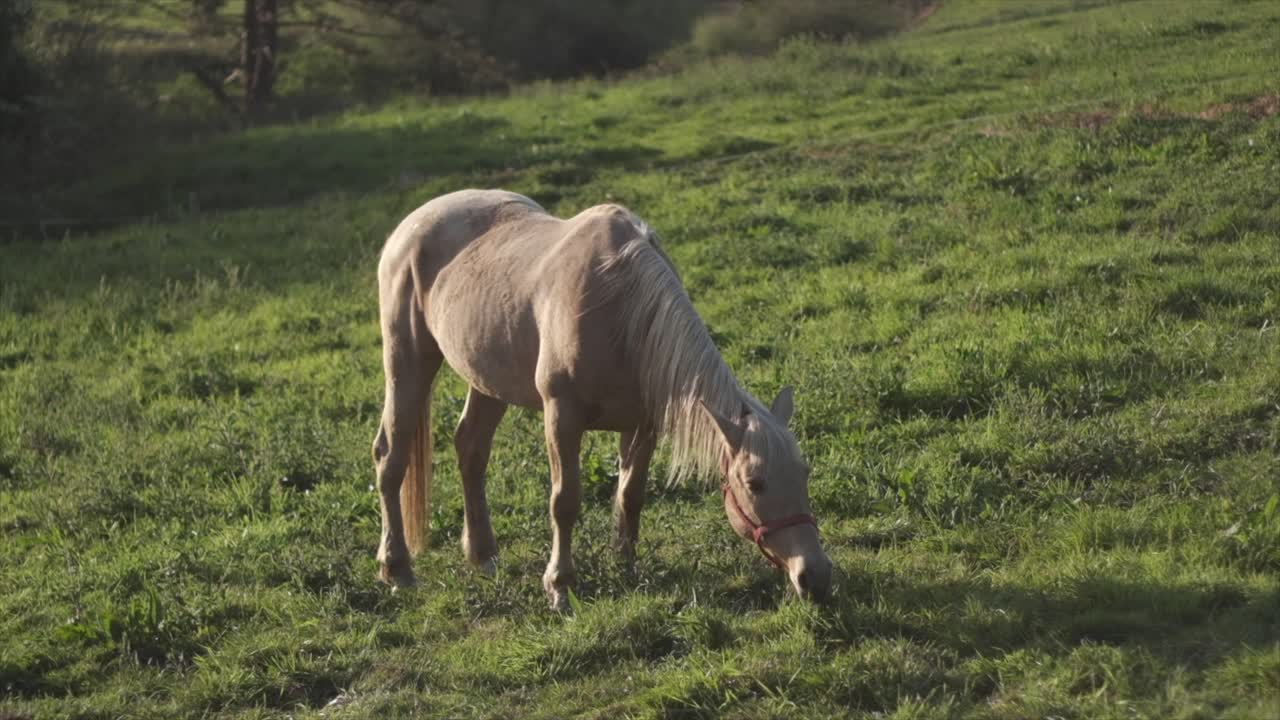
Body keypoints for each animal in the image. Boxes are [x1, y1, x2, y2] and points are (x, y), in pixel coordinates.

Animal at [372, 189, 832, 609]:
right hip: (407, 361)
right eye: (755, 483)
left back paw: (483, 556)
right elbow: (564, 501)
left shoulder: (643, 425)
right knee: (390, 456)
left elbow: (631, 495)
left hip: (487, 380)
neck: (620, 308)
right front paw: (560, 587)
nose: (816, 577)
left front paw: (626, 566)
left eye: (804, 472)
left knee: (470, 449)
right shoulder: (562, 416)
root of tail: (412, 222)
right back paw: (397, 569)